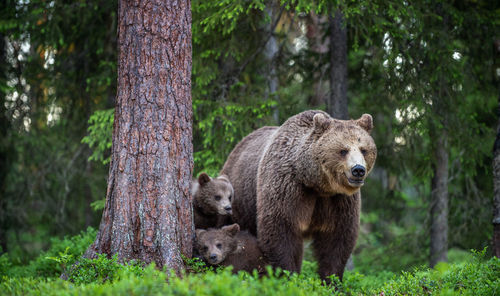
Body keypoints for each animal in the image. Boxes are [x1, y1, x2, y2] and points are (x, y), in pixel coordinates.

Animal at [221, 110, 376, 284]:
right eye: (343, 150)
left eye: (364, 149)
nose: (358, 170)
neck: (316, 184)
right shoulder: (288, 188)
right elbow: (280, 231)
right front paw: (288, 276)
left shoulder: (338, 200)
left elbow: (337, 239)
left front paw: (332, 280)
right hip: (241, 198)